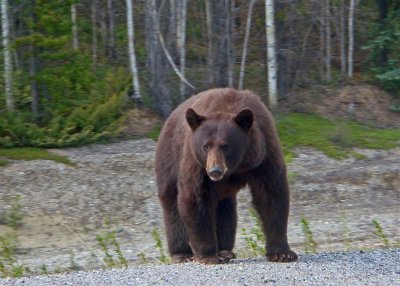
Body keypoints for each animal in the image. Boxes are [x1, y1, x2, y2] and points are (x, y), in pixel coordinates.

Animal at [155, 87, 298, 264]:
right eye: (206, 146)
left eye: (226, 146)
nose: (214, 171)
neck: (237, 167)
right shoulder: (196, 163)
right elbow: (195, 197)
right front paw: (210, 255)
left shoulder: (263, 154)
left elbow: (271, 194)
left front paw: (282, 253)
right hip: (170, 159)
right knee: (172, 204)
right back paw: (183, 254)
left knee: (226, 208)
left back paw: (225, 250)